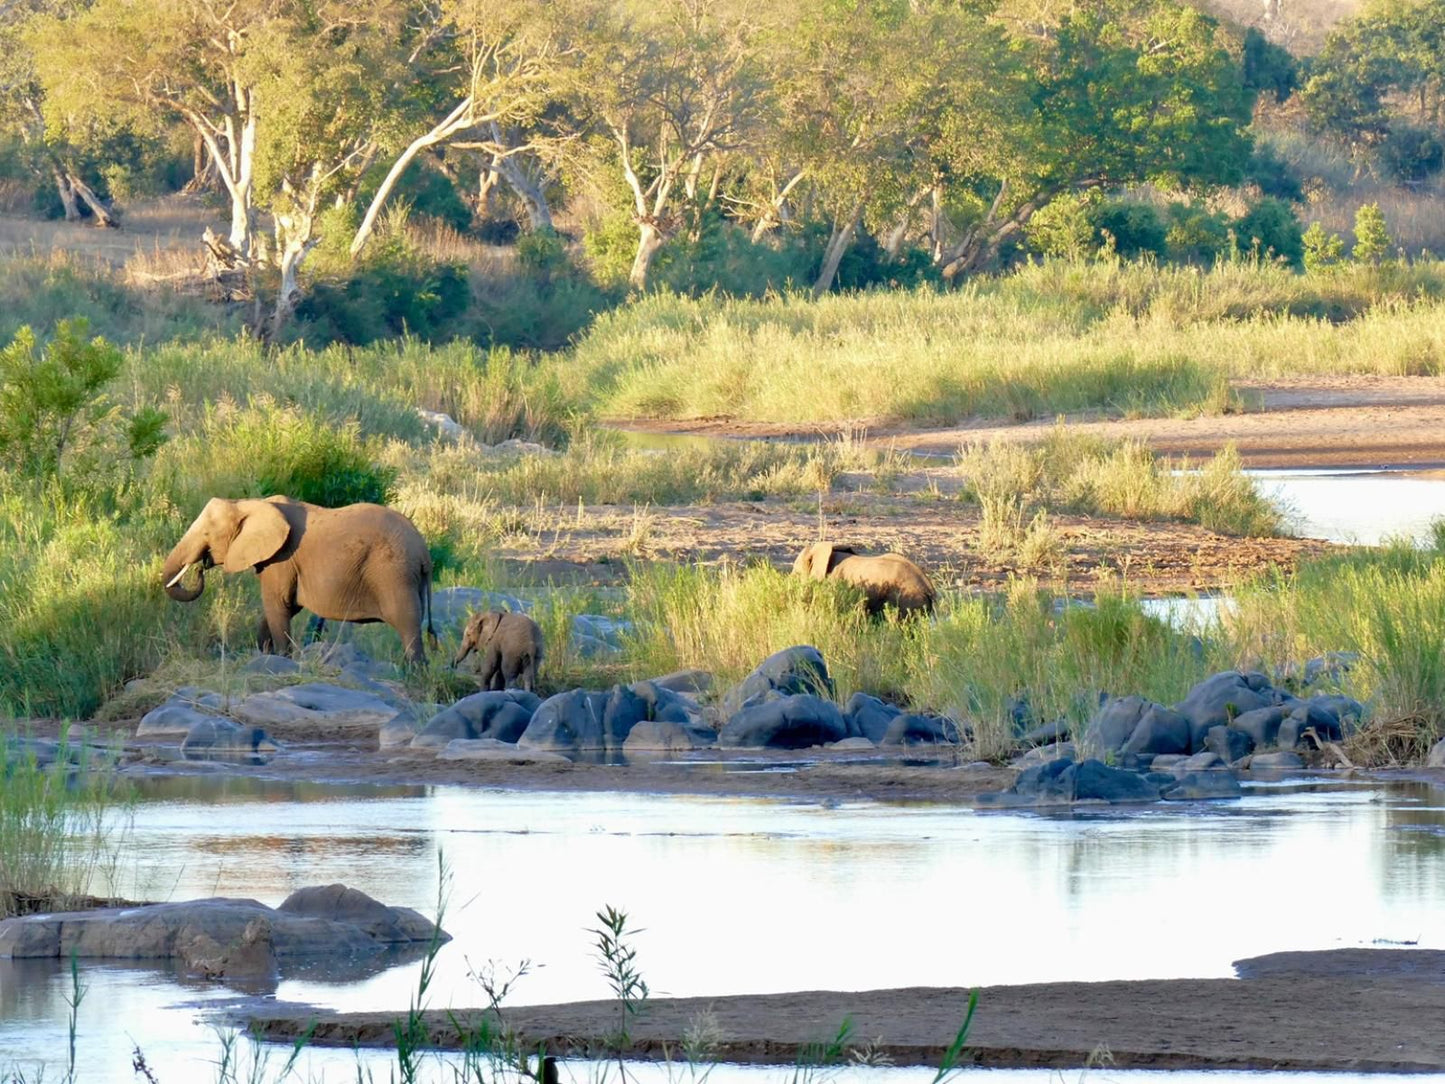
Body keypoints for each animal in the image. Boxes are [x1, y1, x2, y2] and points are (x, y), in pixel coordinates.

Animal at [161, 500, 433, 661]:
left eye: (207, 533)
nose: (201, 567)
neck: (249, 504)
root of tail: (423, 550)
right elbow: (284, 608)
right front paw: (266, 653)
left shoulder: (281, 558)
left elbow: (278, 605)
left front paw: (281, 657)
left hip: (394, 573)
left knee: (407, 623)